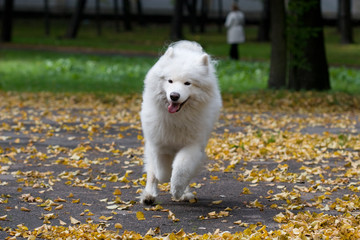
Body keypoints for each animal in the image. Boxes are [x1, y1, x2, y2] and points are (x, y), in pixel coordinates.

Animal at [141, 40, 222, 204]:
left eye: (187, 83)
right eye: (170, 81)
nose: (174, 96)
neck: (176, 118)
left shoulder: (192, 146)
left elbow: (181, 169)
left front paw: (177, 190)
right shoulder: (159, 143)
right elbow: (161, 170)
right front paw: (164, 177)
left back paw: (185, 193)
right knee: (151, 171)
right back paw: (149, 195)